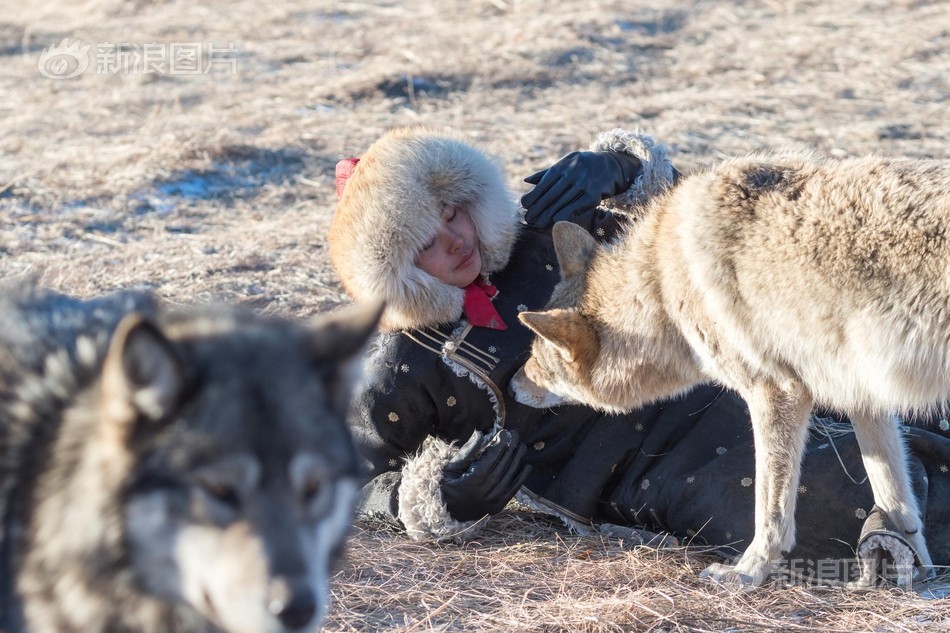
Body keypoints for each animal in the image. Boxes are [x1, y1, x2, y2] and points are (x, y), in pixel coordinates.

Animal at [512, 149, 950, 588]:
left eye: (539, 361)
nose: (512, 385)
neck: (663, 285)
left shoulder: (776, 392)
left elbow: (770, 507)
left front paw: (748, 571)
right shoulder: (864, 398)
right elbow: (896, 499)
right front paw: (914, 565)